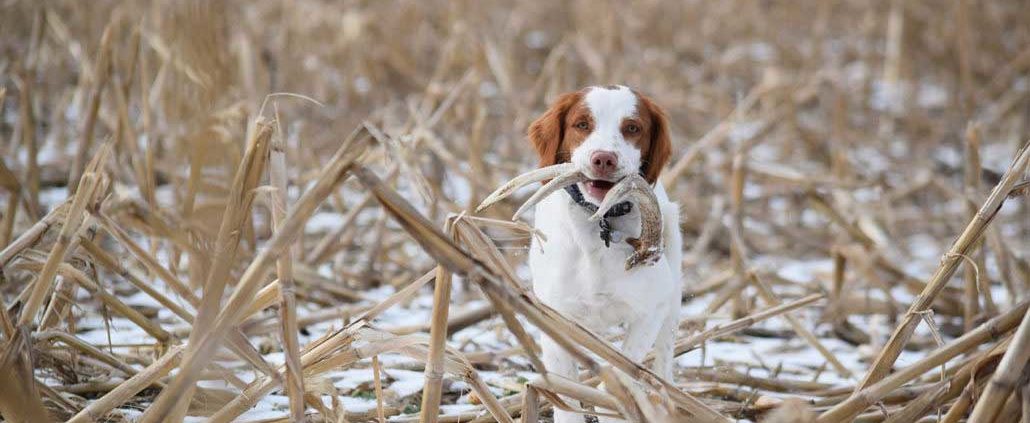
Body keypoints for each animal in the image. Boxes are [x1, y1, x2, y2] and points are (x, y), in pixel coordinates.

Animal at [523, 84, 683, 421]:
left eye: (633, 128)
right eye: (582, 124)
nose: (604, 159)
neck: (600, 221)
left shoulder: (652, 309)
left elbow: (623, 371)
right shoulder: (555, 318)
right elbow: (567, 394)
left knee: (664, 358)